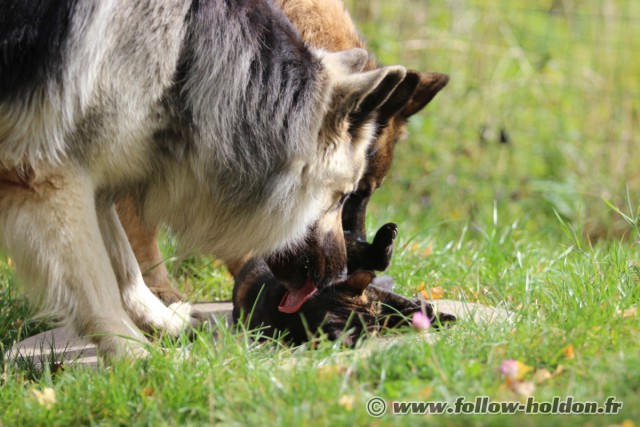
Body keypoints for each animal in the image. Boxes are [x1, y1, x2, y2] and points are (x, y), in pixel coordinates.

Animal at [1, 0, 410, 358]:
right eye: (342, 197)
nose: (340, 275)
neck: (185, 53)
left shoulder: (94, 167)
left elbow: (124, 266)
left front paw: (163, 323)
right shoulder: (48, 175)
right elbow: (96, 282)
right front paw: (136, 356)